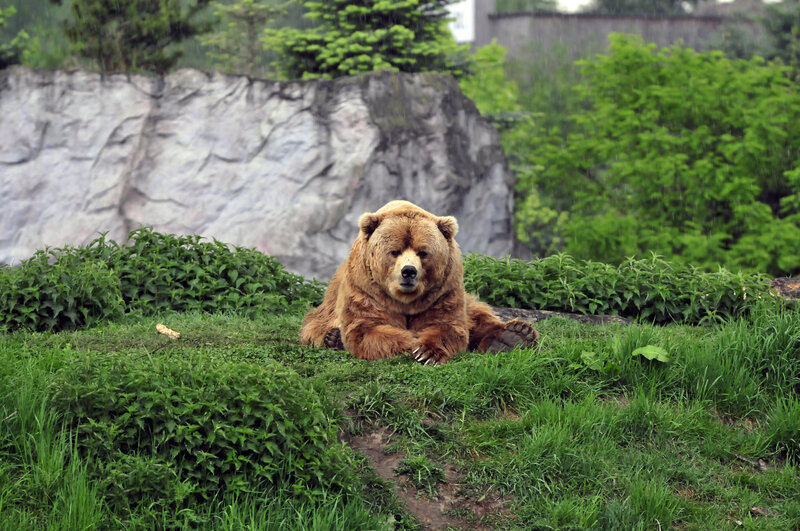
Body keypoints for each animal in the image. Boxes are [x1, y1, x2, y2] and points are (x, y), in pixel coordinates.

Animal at [300, 200, 539, 364]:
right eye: (395, 251)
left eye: (423, 252)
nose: (408, 271)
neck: (405, 300)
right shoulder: (365, 291)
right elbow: (367, 329)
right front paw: (411, 343)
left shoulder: (443, 292)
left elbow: (448, 326)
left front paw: (427, 351)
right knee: (316, 326)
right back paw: (332, 338)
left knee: (478, 315)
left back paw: (514, 335)